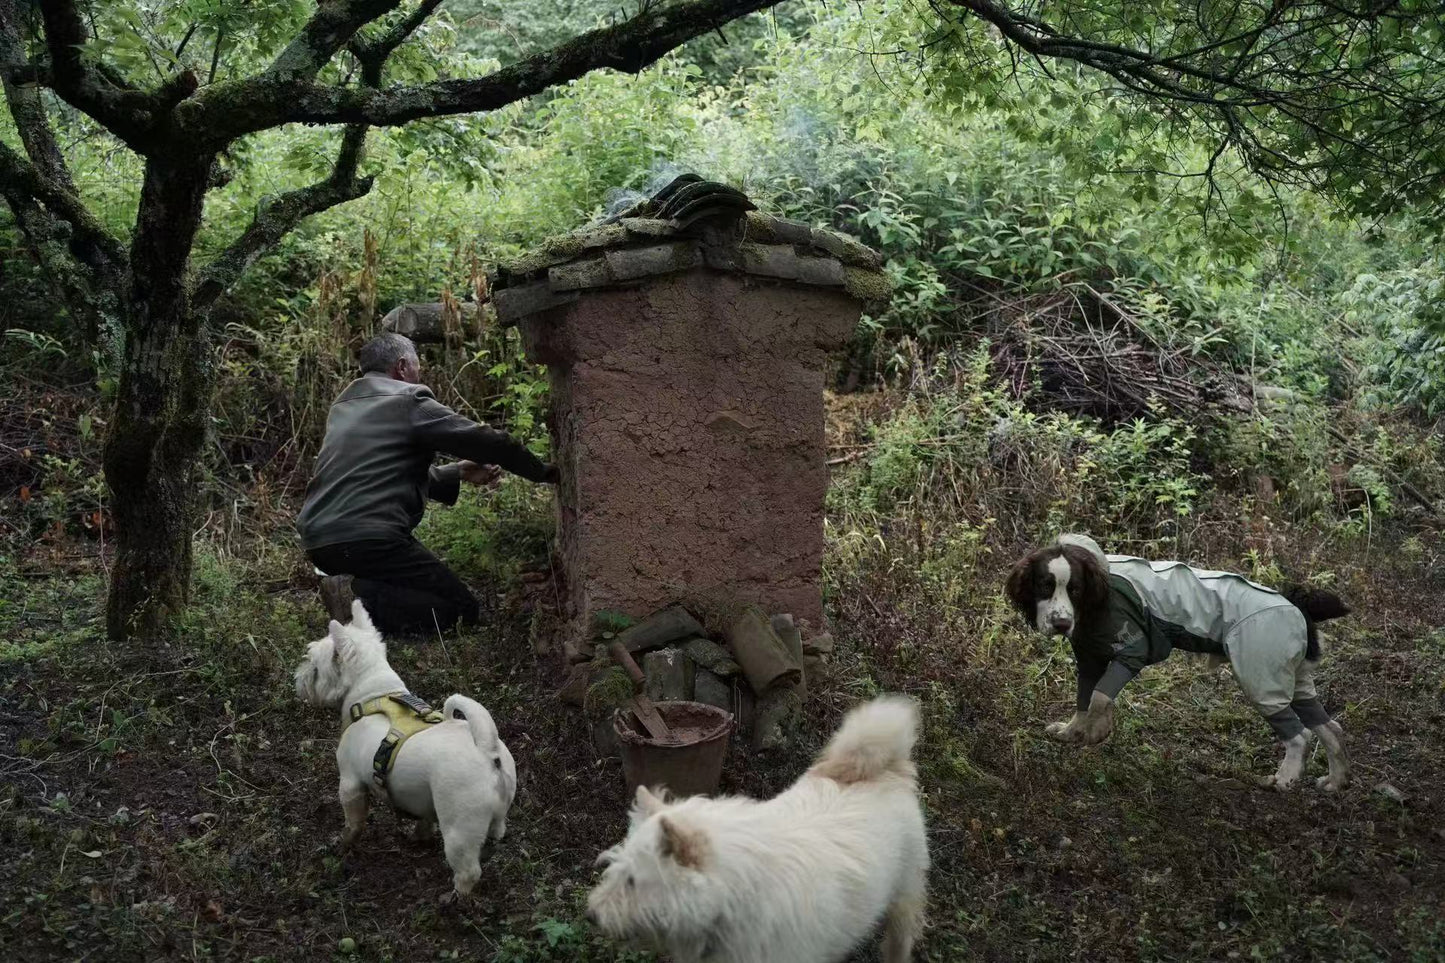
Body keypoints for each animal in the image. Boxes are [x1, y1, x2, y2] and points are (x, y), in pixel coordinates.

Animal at [290, 595, 517, 896]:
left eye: (314, 667)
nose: (298, 678)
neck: (372, 693)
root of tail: (487, 751)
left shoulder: (350, 784)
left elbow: (353, 822)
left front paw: (344, 843)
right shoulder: (424, 800)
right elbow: (425, 819)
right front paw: (420, 836)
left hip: (459, 830)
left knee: (468, 871)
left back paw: (455, 897)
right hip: (496, 815)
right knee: (494, 836)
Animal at [583, 694, 924, 954]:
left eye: (632, 881)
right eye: (613, 871)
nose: (590, 915)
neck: (737, 892)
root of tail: (879, 768)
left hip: (904, 902)